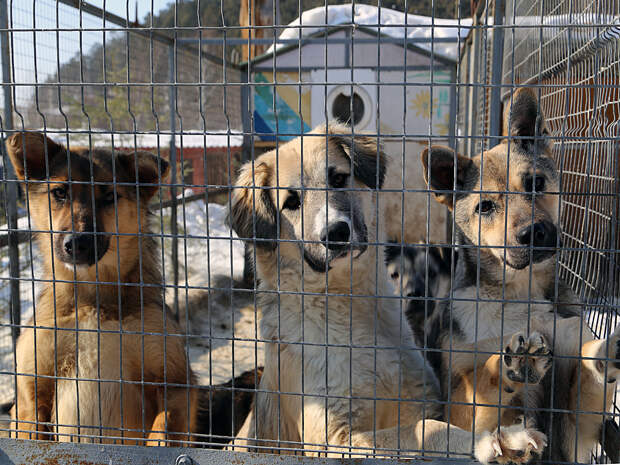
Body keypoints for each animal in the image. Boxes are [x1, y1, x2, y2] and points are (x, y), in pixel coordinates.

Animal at [6, 132, 196, 444]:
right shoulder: (31, 392)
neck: (92, 300)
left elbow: (164, 427)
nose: (77, 243)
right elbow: (33, 430)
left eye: (109, 197)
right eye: (60, 192)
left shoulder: (175, 382)